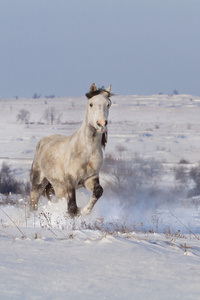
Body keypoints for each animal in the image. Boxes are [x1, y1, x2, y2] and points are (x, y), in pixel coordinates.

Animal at [29, 83, 111, 217]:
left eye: (108, 103)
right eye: (91, 104)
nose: (101, 124)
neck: (87, 151)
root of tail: (43, 141)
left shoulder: (89, 179)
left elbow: (98, 191)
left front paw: (84, 211)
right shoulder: (70, 181)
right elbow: (72, 208)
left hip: (59, 188)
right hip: (38, 183)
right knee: (33, 203)